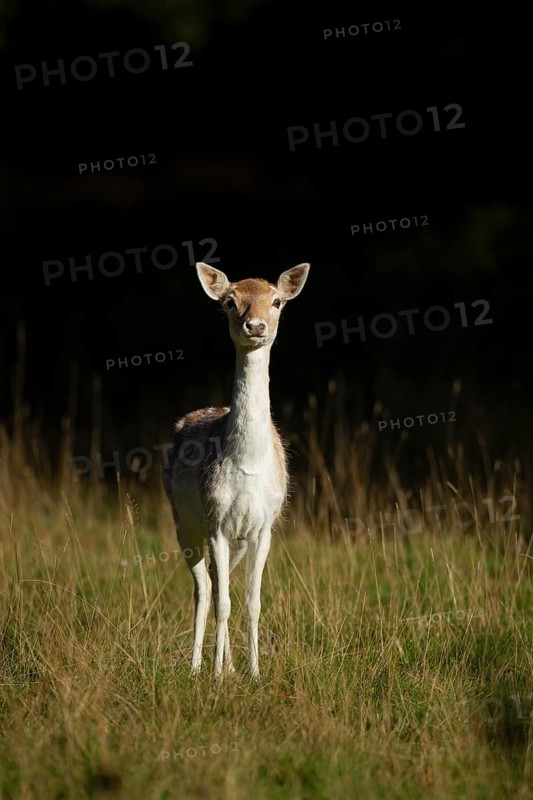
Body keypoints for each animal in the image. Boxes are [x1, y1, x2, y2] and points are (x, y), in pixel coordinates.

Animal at [162, 261, 310, 680]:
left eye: (277, 301)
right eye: (230, 301)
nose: (255, 325)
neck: (247, 466)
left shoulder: (263, 528)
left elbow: (252, 603)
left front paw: (254, 673)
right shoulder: (215, 522)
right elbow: (224, 602)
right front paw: (214, 675)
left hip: (237, 541)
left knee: (217, 583)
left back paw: (227, 665)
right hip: (184, 524)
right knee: (204, 590)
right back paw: (198, 667)